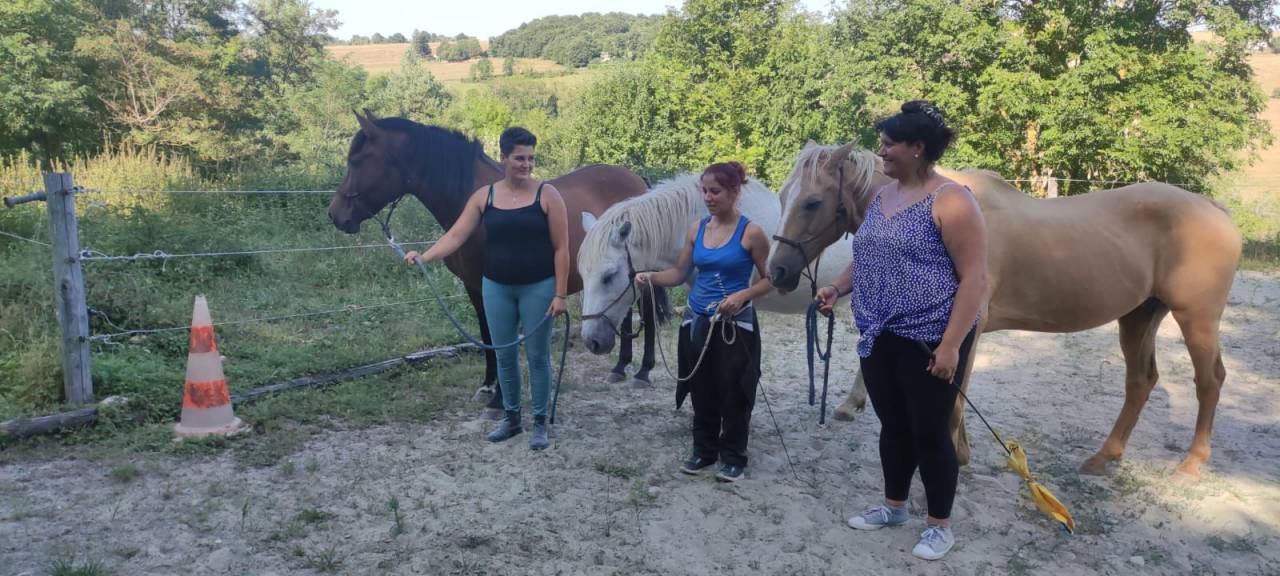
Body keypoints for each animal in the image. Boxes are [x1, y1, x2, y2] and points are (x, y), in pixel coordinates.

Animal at [328, 111, 667, 410]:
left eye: (356, 161)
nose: (335, 215)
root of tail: (639, 182)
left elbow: (502, 337)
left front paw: (500, 398)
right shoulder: (475, 288)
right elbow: (487, 335)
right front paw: (489, 386)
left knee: (648, 312)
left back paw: (642, 371)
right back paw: (619, 367)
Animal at [768, 142, 1241, 478]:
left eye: (812, 202)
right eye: (783, 195)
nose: (777, 270)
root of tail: (1214, 209)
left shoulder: (963, 331)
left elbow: (952, 400)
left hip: (1196, 318)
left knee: (1210, 381)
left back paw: (1192, 464)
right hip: (1140, 316)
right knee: (1141, 382)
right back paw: (1103, 457)